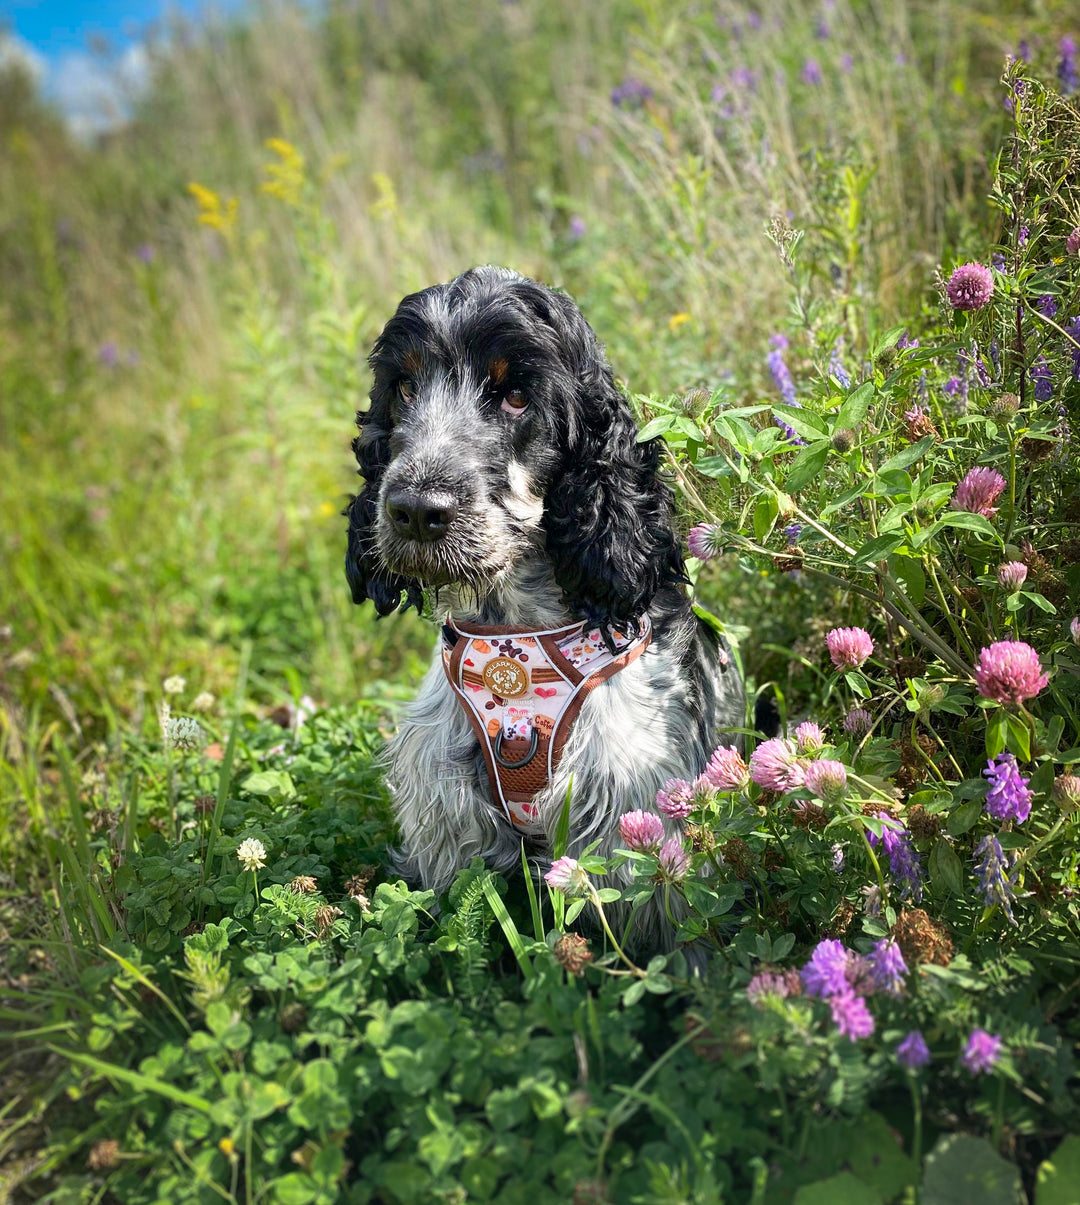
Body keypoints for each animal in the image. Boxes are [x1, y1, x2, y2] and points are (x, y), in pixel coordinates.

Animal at [347, 266, 742, 949]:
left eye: (515, 397)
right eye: (403, 387)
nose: (415, 511)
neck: (516, 629)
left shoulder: (632, 818)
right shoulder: (451, 823)